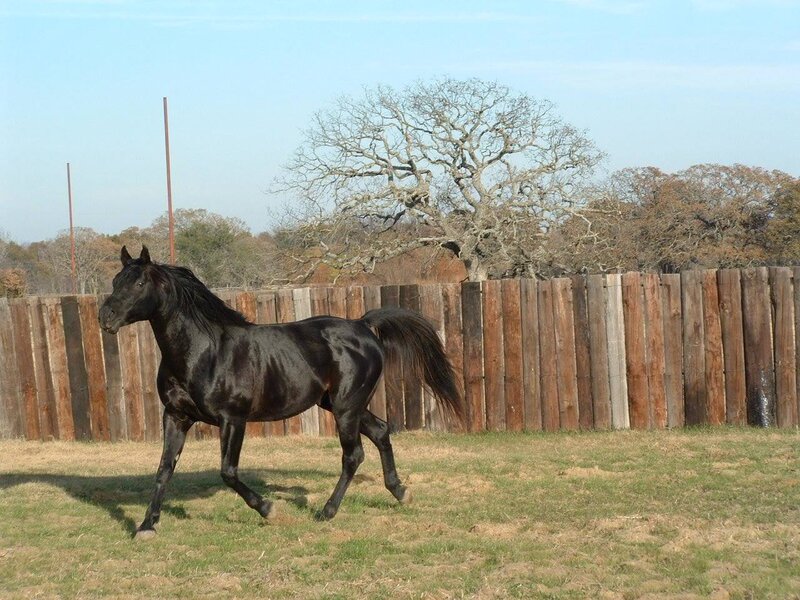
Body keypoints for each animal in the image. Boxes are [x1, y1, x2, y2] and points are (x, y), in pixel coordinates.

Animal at [98, 246, 463, 539]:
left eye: (139, 284)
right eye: (115, 281)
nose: (106, 317)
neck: (204, 352)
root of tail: (362, 325)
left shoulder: (233, 419)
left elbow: (228, 471)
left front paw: (269, 509)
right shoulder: (176, 417)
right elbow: (164, 470)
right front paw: (146, 527)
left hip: (346, 408)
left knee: (353, 455)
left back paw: (327, 511)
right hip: (340, 405)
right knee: (381, 432)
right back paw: (400, 492)